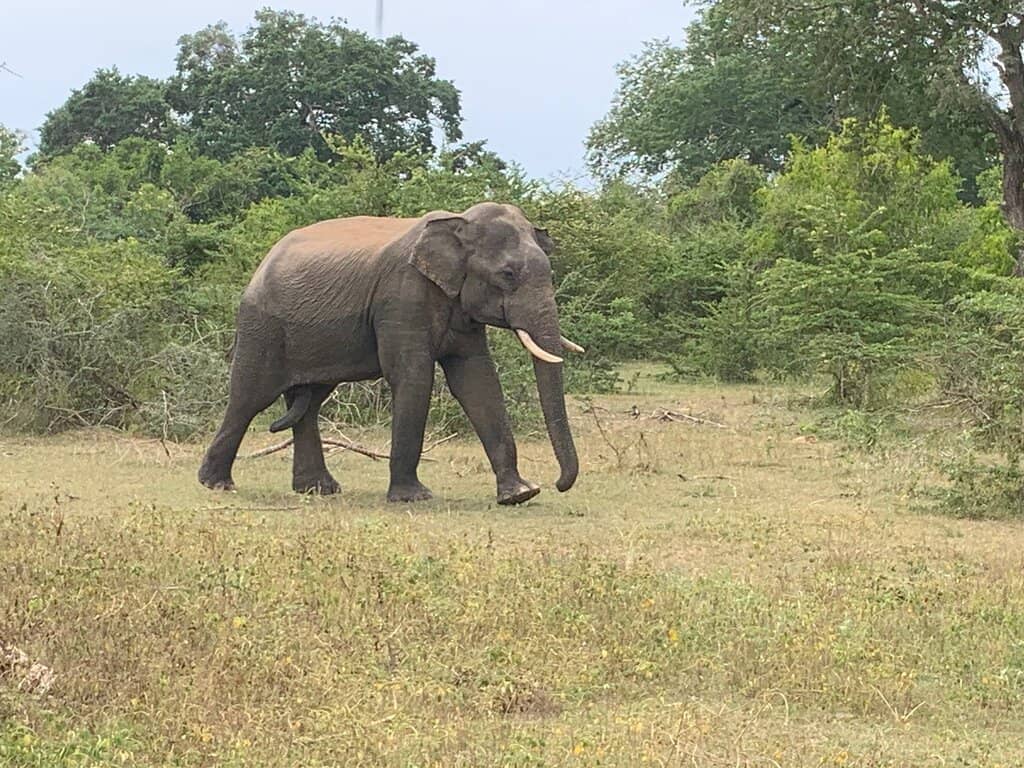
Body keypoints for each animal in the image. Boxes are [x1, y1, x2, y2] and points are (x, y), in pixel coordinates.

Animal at [198, 202, 582, 504]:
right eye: (507, 274)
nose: (558, 484)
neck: (458, 223)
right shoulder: (402, 296)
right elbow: (414, 377)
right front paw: (414, 497)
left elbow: (478, 381)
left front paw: (520, 494)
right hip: (261, 325)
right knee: (250, 397)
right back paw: (217, 485)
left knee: (308, 403)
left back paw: (319, 490)